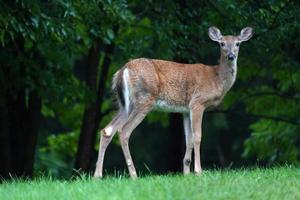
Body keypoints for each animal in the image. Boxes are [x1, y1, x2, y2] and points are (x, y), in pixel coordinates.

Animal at [94, 26, 253, 178]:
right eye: (222, 43)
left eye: (238, 43)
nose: (231, 56)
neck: (216, 78)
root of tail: (123, 70)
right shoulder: (197, 102)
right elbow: (197, 136)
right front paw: (198, 171)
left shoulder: (185, 110)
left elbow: (188, 139)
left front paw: (186, 173)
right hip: (144, 99)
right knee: (124, 131)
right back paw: (134, 175)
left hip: (125, 104)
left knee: (107, 130)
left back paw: (97, 175)